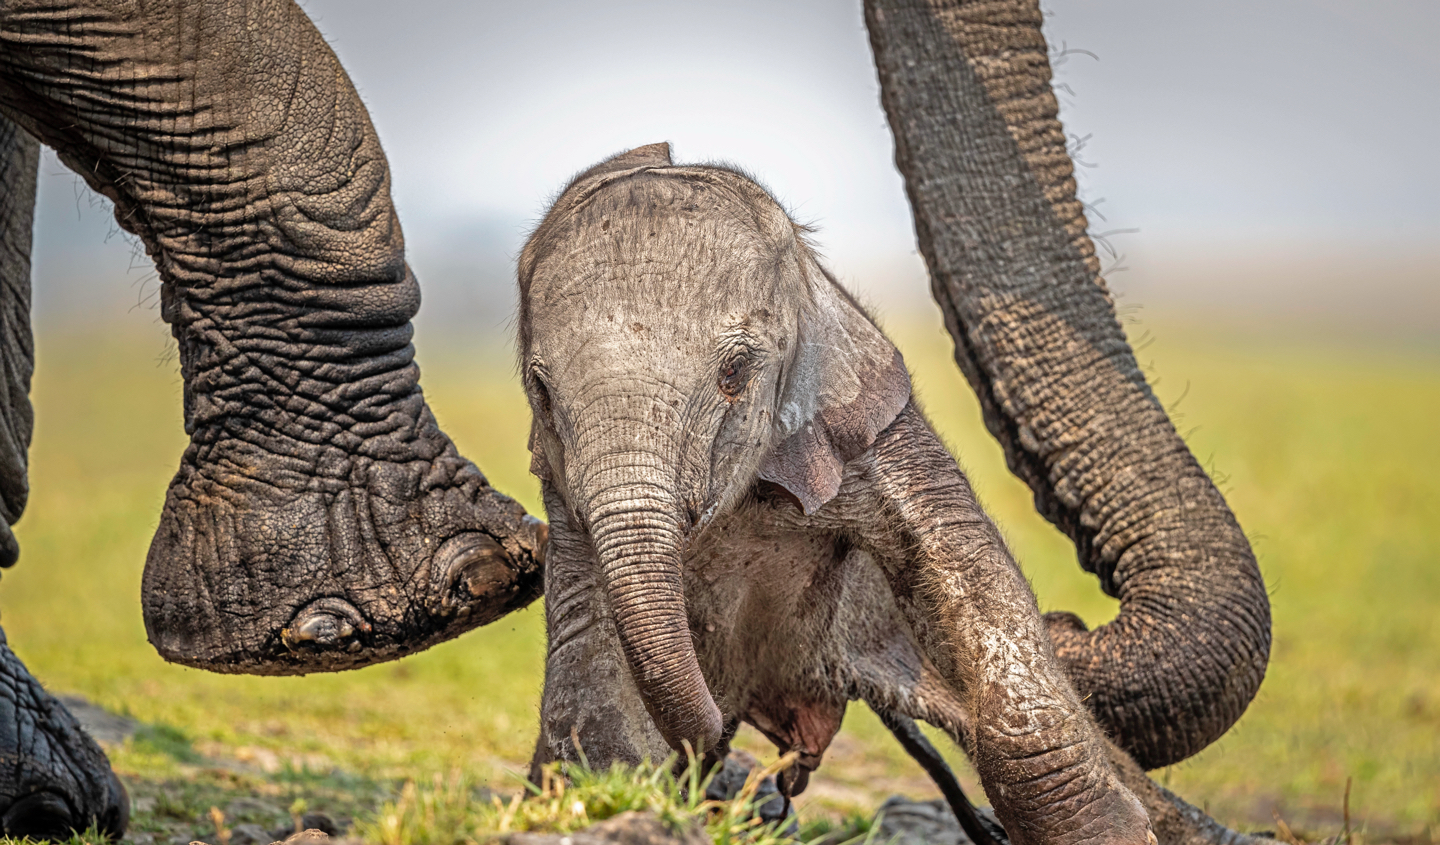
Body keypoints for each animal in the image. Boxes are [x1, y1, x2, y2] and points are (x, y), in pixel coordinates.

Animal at [524, 142, 1152, 840]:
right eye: (540, 390)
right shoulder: (567, 497)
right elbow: (592, 664)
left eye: (735, 371)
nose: (708, 741)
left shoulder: (867, 424)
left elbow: (967, 569)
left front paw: (1102, 834)